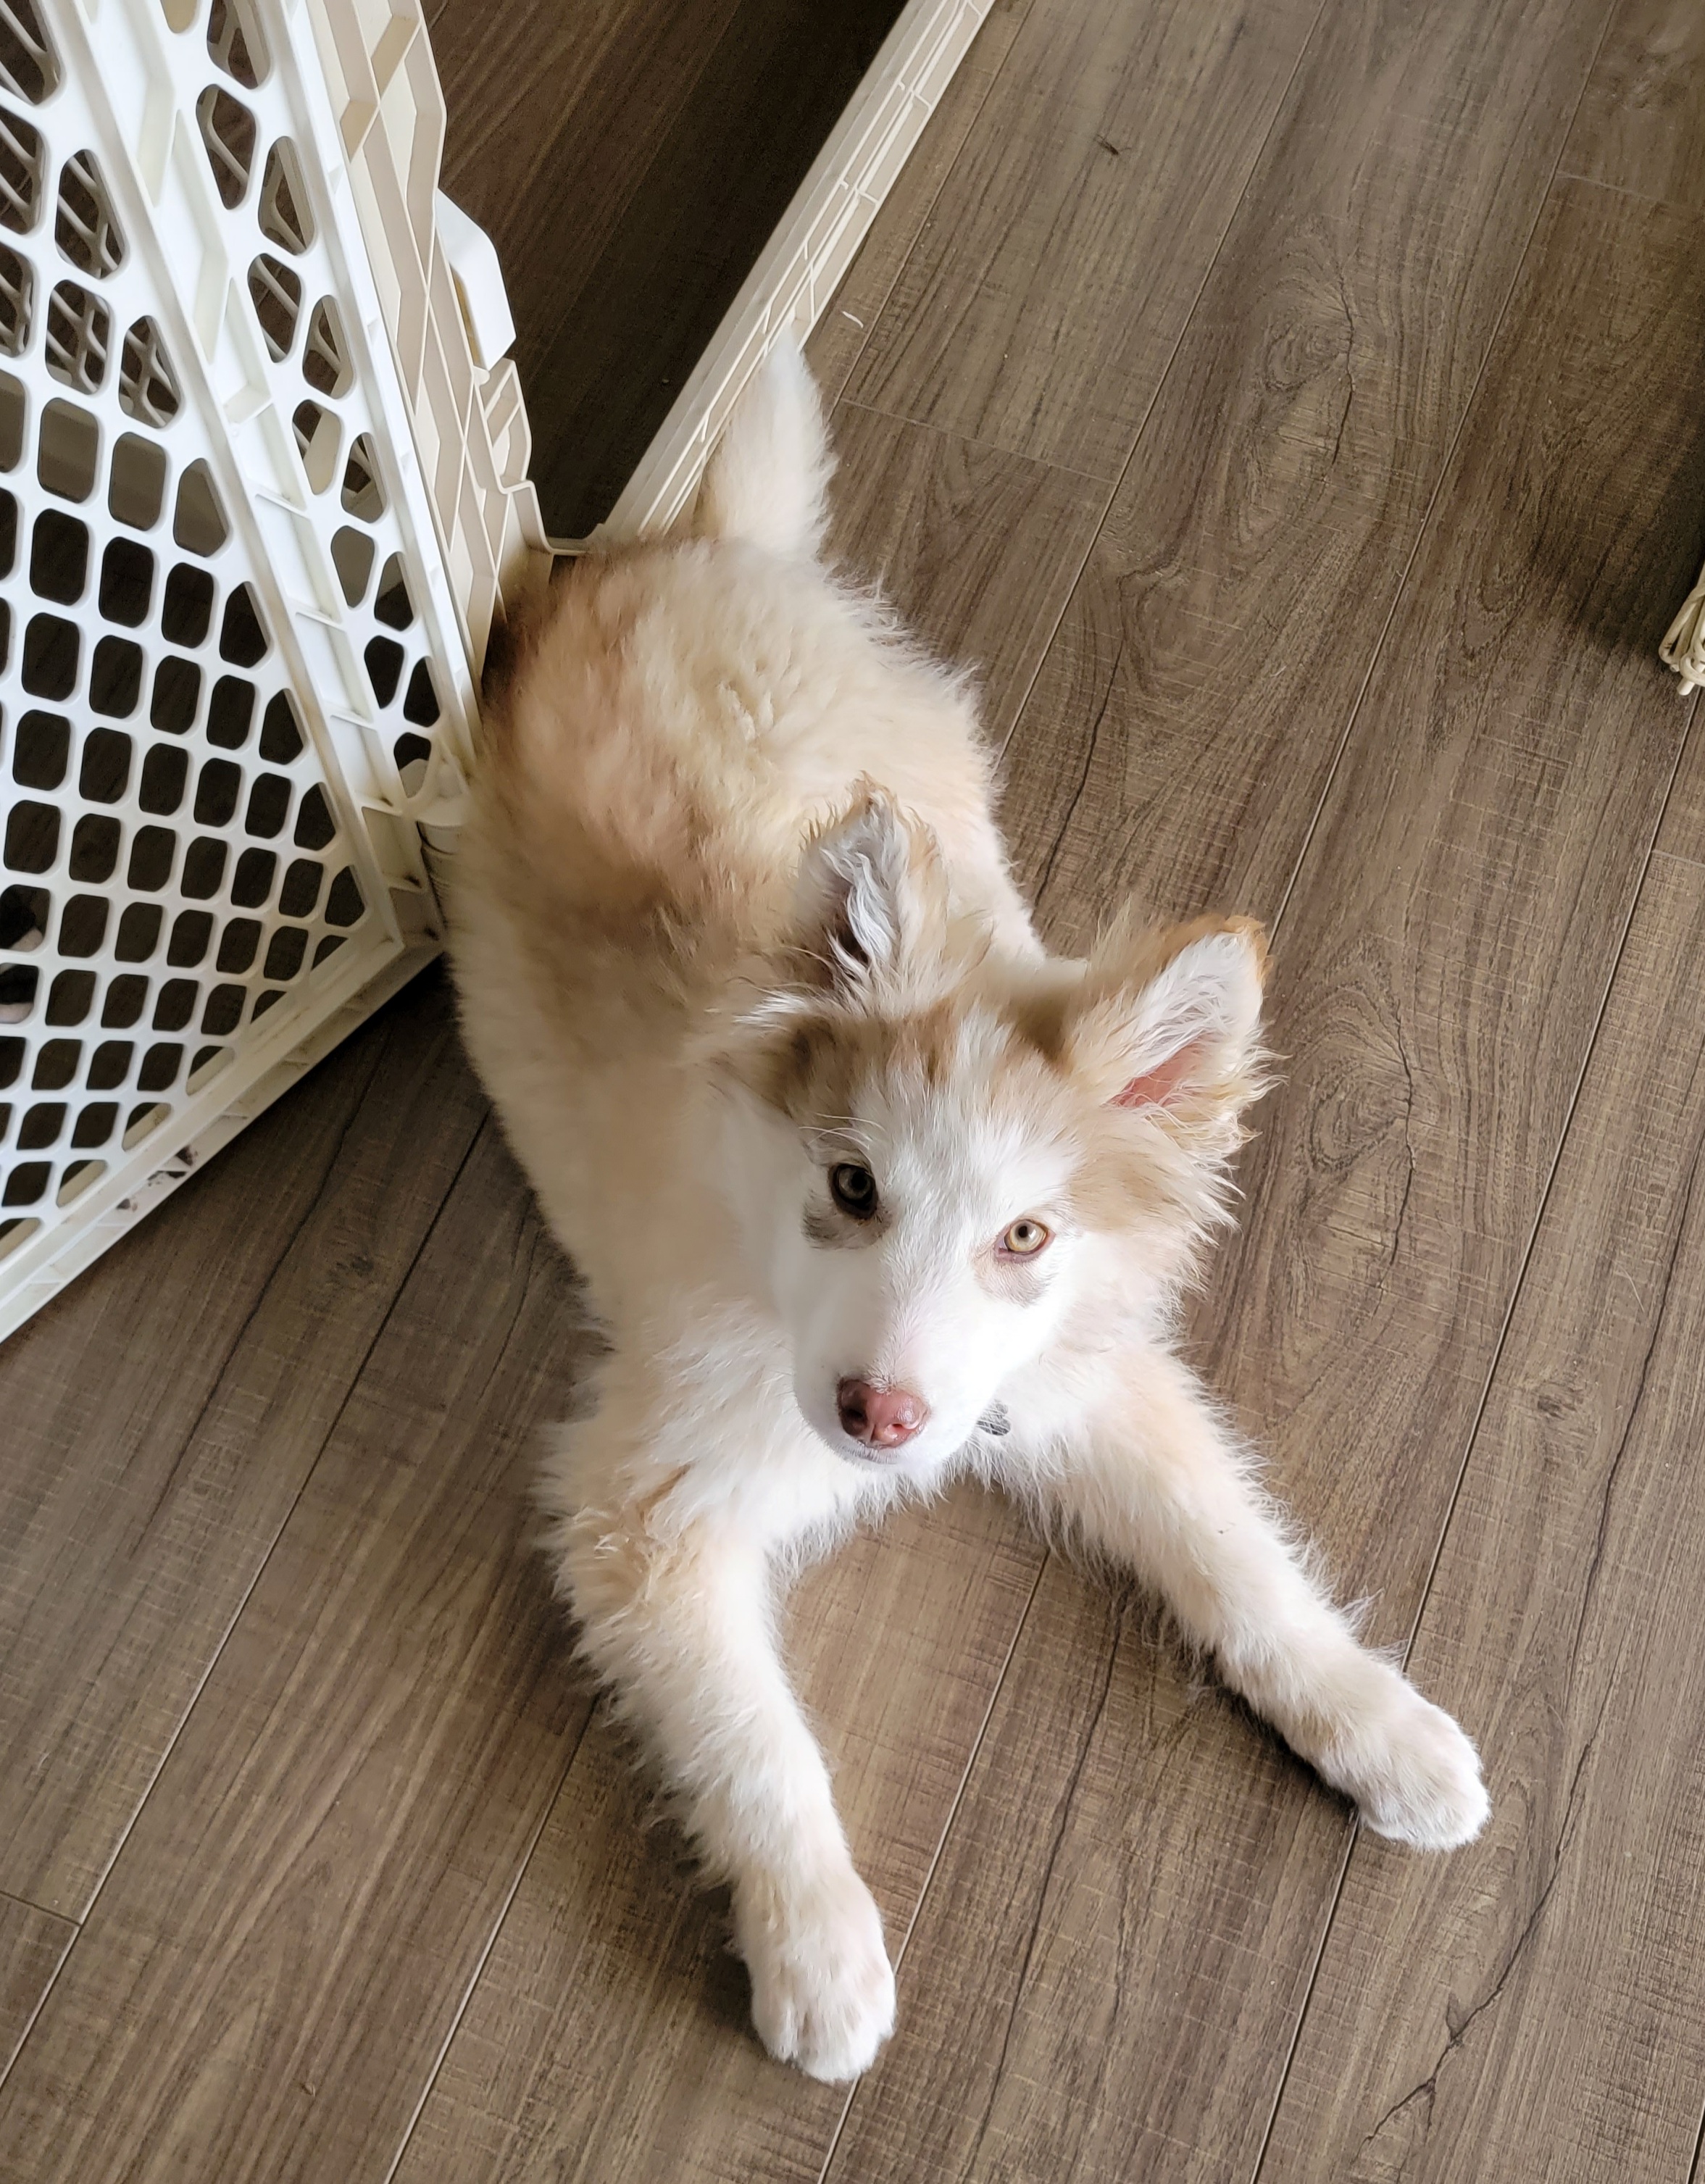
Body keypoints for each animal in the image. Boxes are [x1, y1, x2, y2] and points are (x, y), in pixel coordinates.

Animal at [447, 339, 1488, 2084]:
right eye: (850, 1186)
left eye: (1025, 1238)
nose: (883, 1419)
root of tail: (675, 554)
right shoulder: (638, 1508)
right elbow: (753, 1740)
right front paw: (820, 1956)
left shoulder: (1085, 1370)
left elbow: (1237, 1553)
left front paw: (1382, 1729)